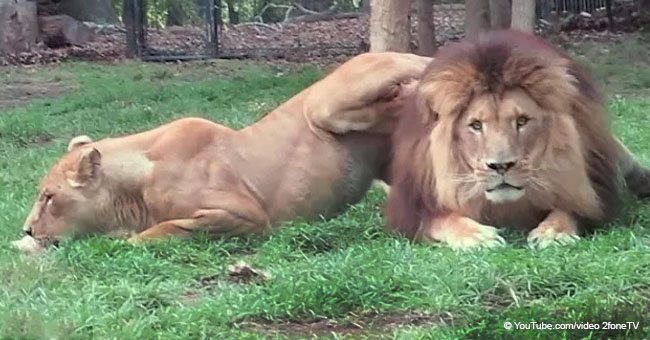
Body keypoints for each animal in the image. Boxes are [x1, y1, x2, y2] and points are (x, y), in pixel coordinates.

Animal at [12, 51, 430, 254]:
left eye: (48, 196)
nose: (27, 228)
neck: (129, 196)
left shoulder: (245, 215)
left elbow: (162, 230)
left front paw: (124, 239)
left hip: (326, 105)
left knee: (413, 68)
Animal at [382, 29, 644, 251]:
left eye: (521, 121)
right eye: (476, 125)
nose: (501, 166)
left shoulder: (595, 191)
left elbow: (569, 209)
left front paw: (553, 232)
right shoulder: (411, 205)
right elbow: (441, 218)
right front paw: (477, 237)